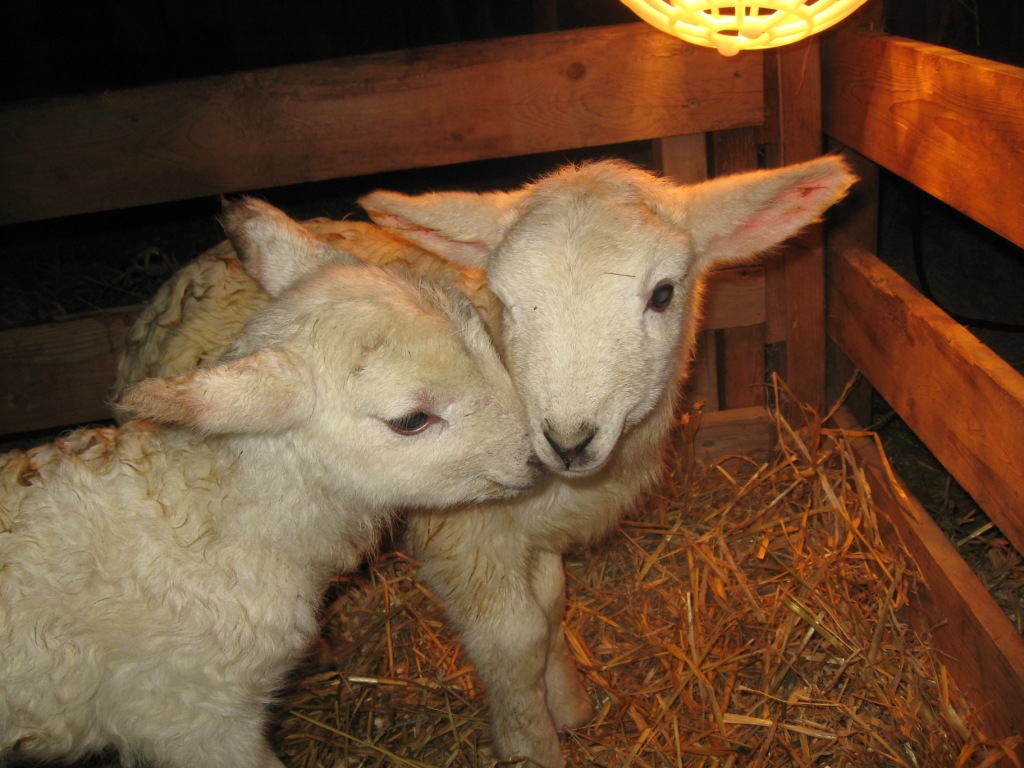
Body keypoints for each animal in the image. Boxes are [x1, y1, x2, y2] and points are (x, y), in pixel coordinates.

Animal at [111, 157, 855, 766]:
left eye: (664, 293)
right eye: (506, 298)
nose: (569, 439)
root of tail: (195, 263)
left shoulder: (540, 534)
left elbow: (551, 608)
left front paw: (569, 703)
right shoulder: (465, 534)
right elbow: (515, 638)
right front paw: (532, 743)